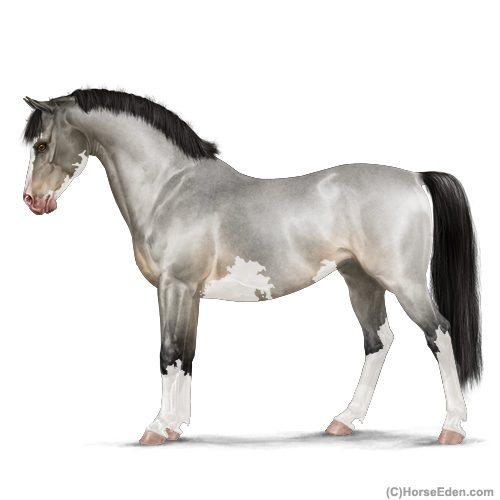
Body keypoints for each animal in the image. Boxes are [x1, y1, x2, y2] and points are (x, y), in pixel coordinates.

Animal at [20, 86, 482, 445]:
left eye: (41, 144)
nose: (33, 201)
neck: (171, 186)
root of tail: (414, 178)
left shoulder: (175, 286)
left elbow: (168, 353)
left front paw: (157, 428)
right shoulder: (189, 294)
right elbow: (186, 355)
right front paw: (177, 424)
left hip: (404, 282)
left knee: (439, 332)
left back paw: (452, 428)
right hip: (360, 279)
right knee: (378, 341)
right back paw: (345, 421)